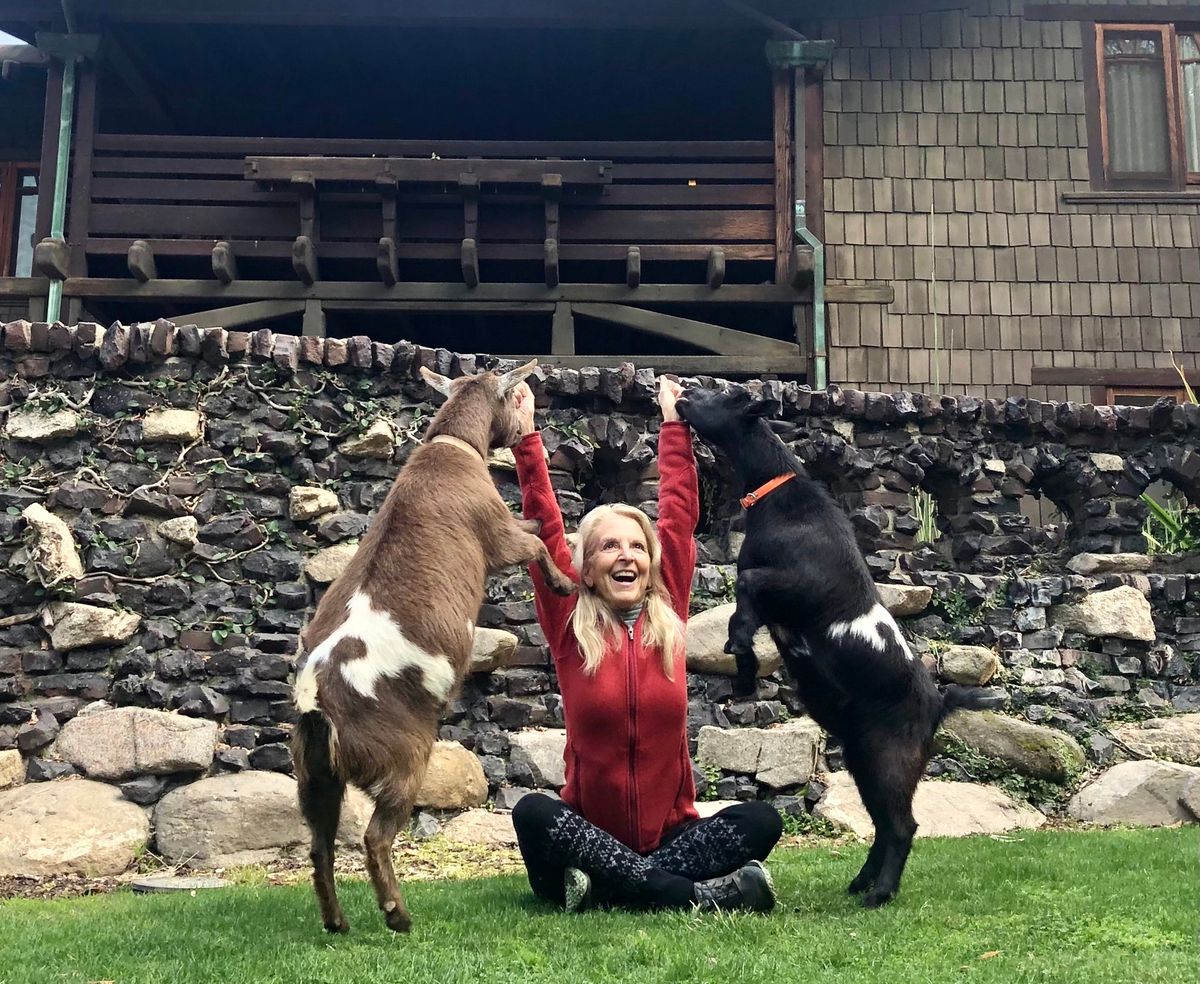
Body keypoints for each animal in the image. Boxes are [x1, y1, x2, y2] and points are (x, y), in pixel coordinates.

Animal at [289, 360, 571, 931]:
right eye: (514, 399)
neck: (452, 446)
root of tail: (316, 701)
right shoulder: (497, 534)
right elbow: (532, 540)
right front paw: (562, 582)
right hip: (402, 757)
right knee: (375, 837)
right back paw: (398, 915)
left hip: (314, 777)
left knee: (321, 845)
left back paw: (337, 922)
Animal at [681, 386, 988, 907]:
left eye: (719, 395)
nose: (681, 395)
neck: (783, 499)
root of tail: (938, 704)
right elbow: (745, 605)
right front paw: (743, 669)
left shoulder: (795, 584)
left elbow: (746, 585)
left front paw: (739, 646)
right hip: (865, 760)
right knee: (884, 825)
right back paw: (862, 883)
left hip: (889, 760)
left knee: (902, 826)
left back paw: (879, 893)